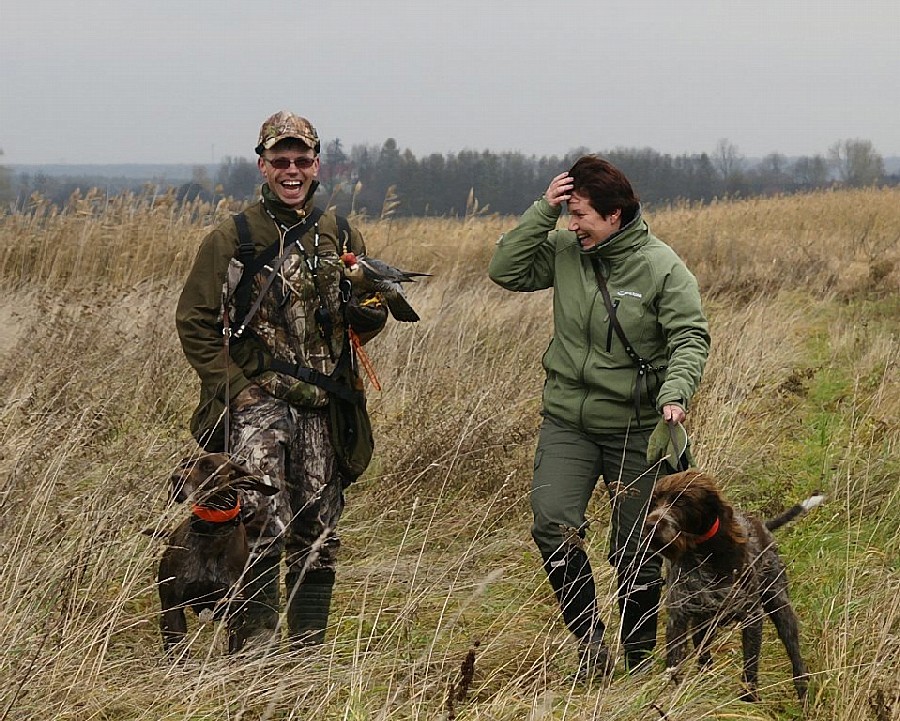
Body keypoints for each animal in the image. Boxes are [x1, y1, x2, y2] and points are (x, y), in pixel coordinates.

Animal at [156, 452, 278, 655]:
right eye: (184, 464)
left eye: (208, 466)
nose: (176, 478)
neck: (212, 531)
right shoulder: (173, 607)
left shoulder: (235, 613)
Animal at [643, 470, 824, 701]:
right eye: (655, 502)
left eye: (681, 500)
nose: (651, 525)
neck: (703, 553)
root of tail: (763, 526)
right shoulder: (679, 616)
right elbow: (674, 663)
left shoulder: (751, 616)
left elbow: (750, 664)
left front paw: (749, 699)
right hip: (703, 624)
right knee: (704, 655)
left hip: (780, 605)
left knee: (795, 655)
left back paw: (803, 691)